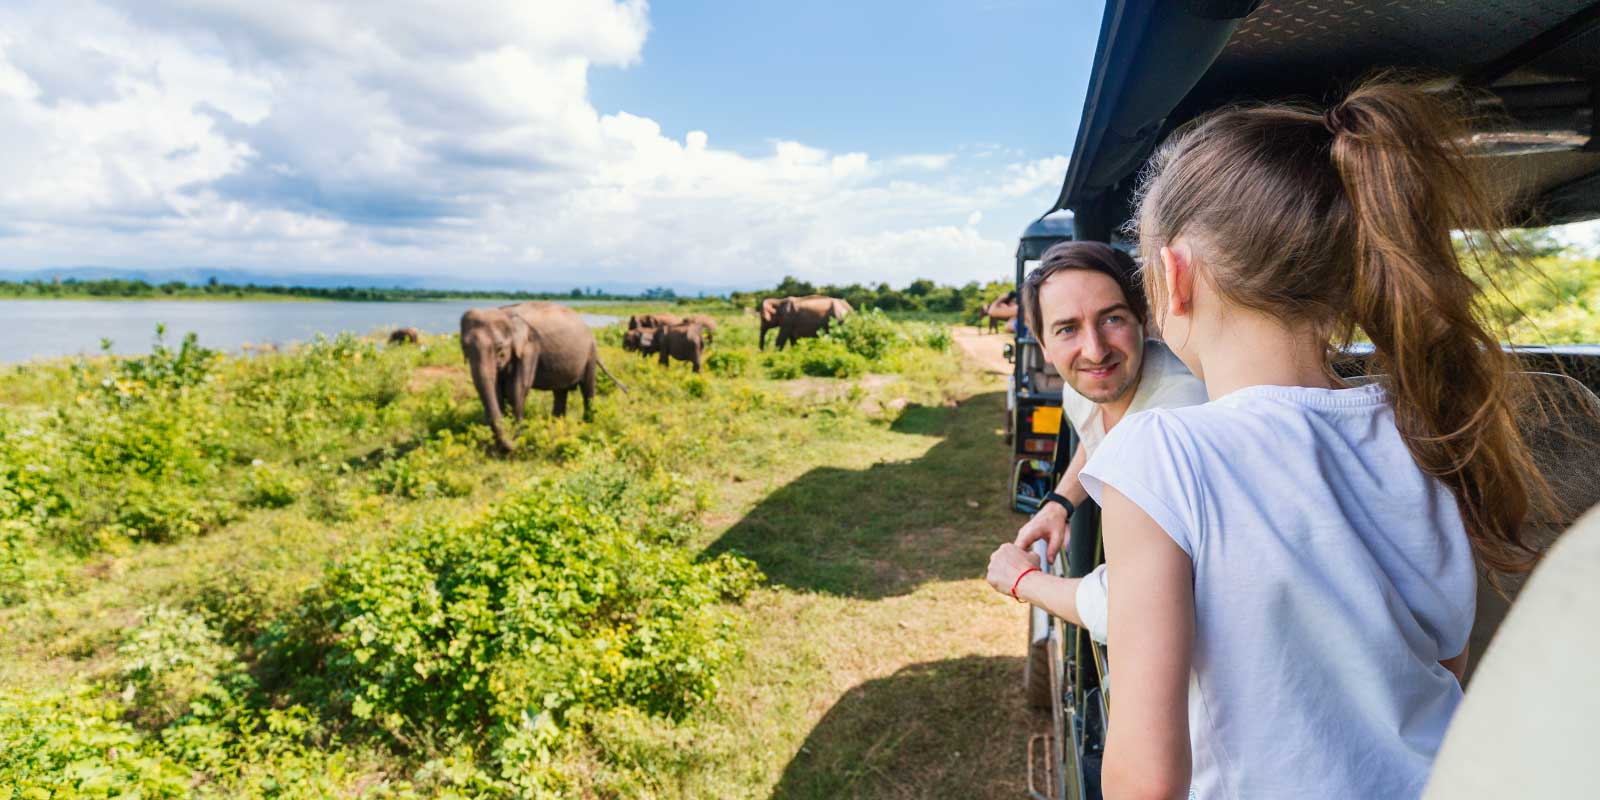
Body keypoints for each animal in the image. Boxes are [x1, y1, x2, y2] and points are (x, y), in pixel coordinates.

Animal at [460, 301, 627, 452]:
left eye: (499, 347)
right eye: (464, 348)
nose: (511, 443)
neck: (506, 314)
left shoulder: (530, 348)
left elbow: (516, 389)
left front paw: (517, 438)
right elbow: (498, 392)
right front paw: (498, 447)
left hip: (591, 352)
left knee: (588, 388)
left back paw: (586, 425)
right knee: (560, 392)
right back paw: (556, 425)